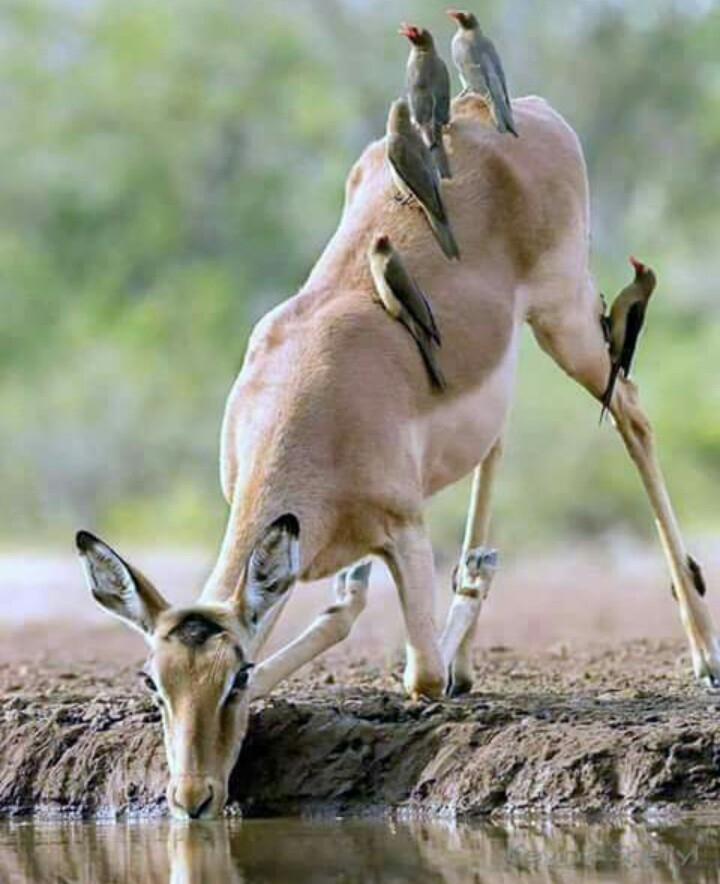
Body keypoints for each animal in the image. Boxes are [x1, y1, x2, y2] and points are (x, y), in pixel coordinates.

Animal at [76, 95, 720, 820]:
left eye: (235, 677)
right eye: (154, 682)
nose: (192, 796)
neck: (319, 402)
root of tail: (515, 109)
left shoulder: (405, 531)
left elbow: (422, 673)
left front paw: (463, 603)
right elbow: (345, 611)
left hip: (566, 322)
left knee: (631, 410)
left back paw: (702, 652)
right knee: (502, 438)